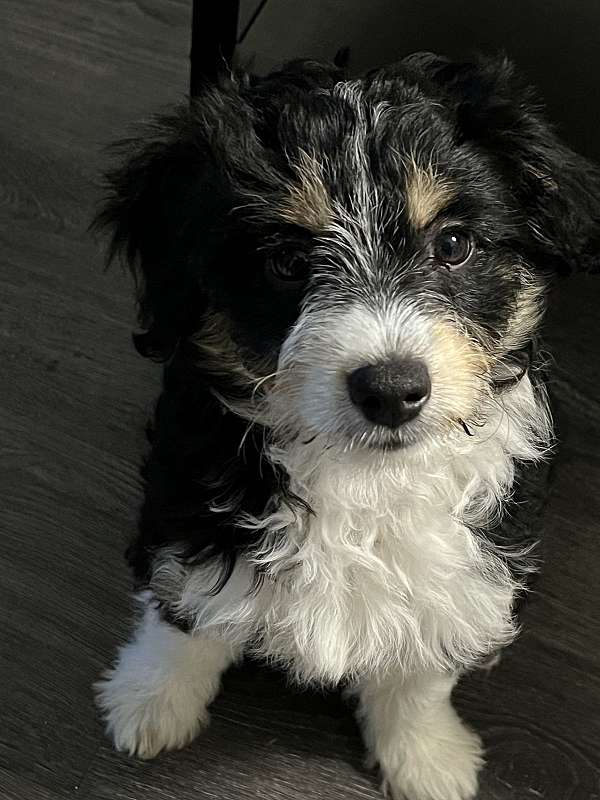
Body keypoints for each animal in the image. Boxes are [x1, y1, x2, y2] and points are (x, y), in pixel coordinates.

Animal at [94, 54, 600, 800]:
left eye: (454, 244)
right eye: (287, 262)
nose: (390, 390)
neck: (361, 474)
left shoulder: (473, 568)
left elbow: (421, 673)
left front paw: (426, 757)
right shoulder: (189, 502)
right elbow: (183, 615)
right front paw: (152, 701)